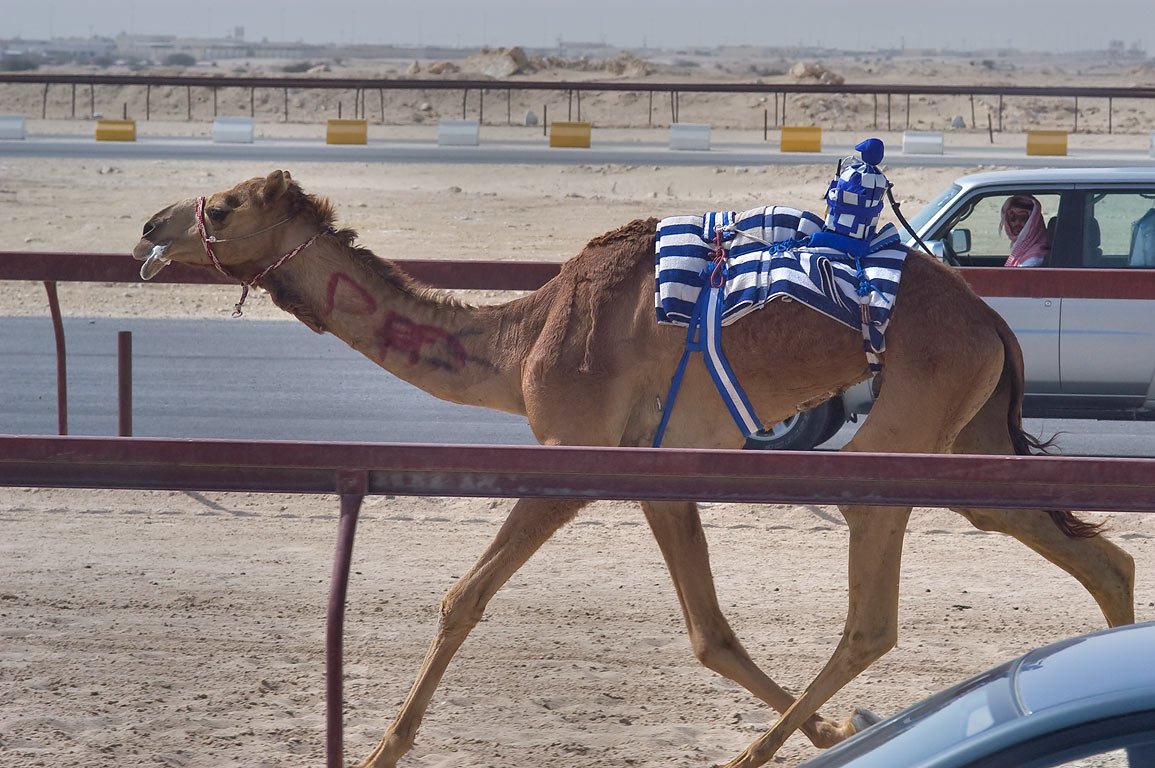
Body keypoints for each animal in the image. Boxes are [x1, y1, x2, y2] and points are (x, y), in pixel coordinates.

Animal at [132, 170, 1135, 768]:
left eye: (224, 206)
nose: (149, 225)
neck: (520, 342)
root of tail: (991, 318)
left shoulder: (573, 458)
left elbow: (462, 597)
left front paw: (382, 749)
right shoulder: (660, 472)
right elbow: (709, 635)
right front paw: (834, 727)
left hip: (904, 427)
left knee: (872, 619)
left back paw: (750, 756)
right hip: (967, 439)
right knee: (1097, 556)